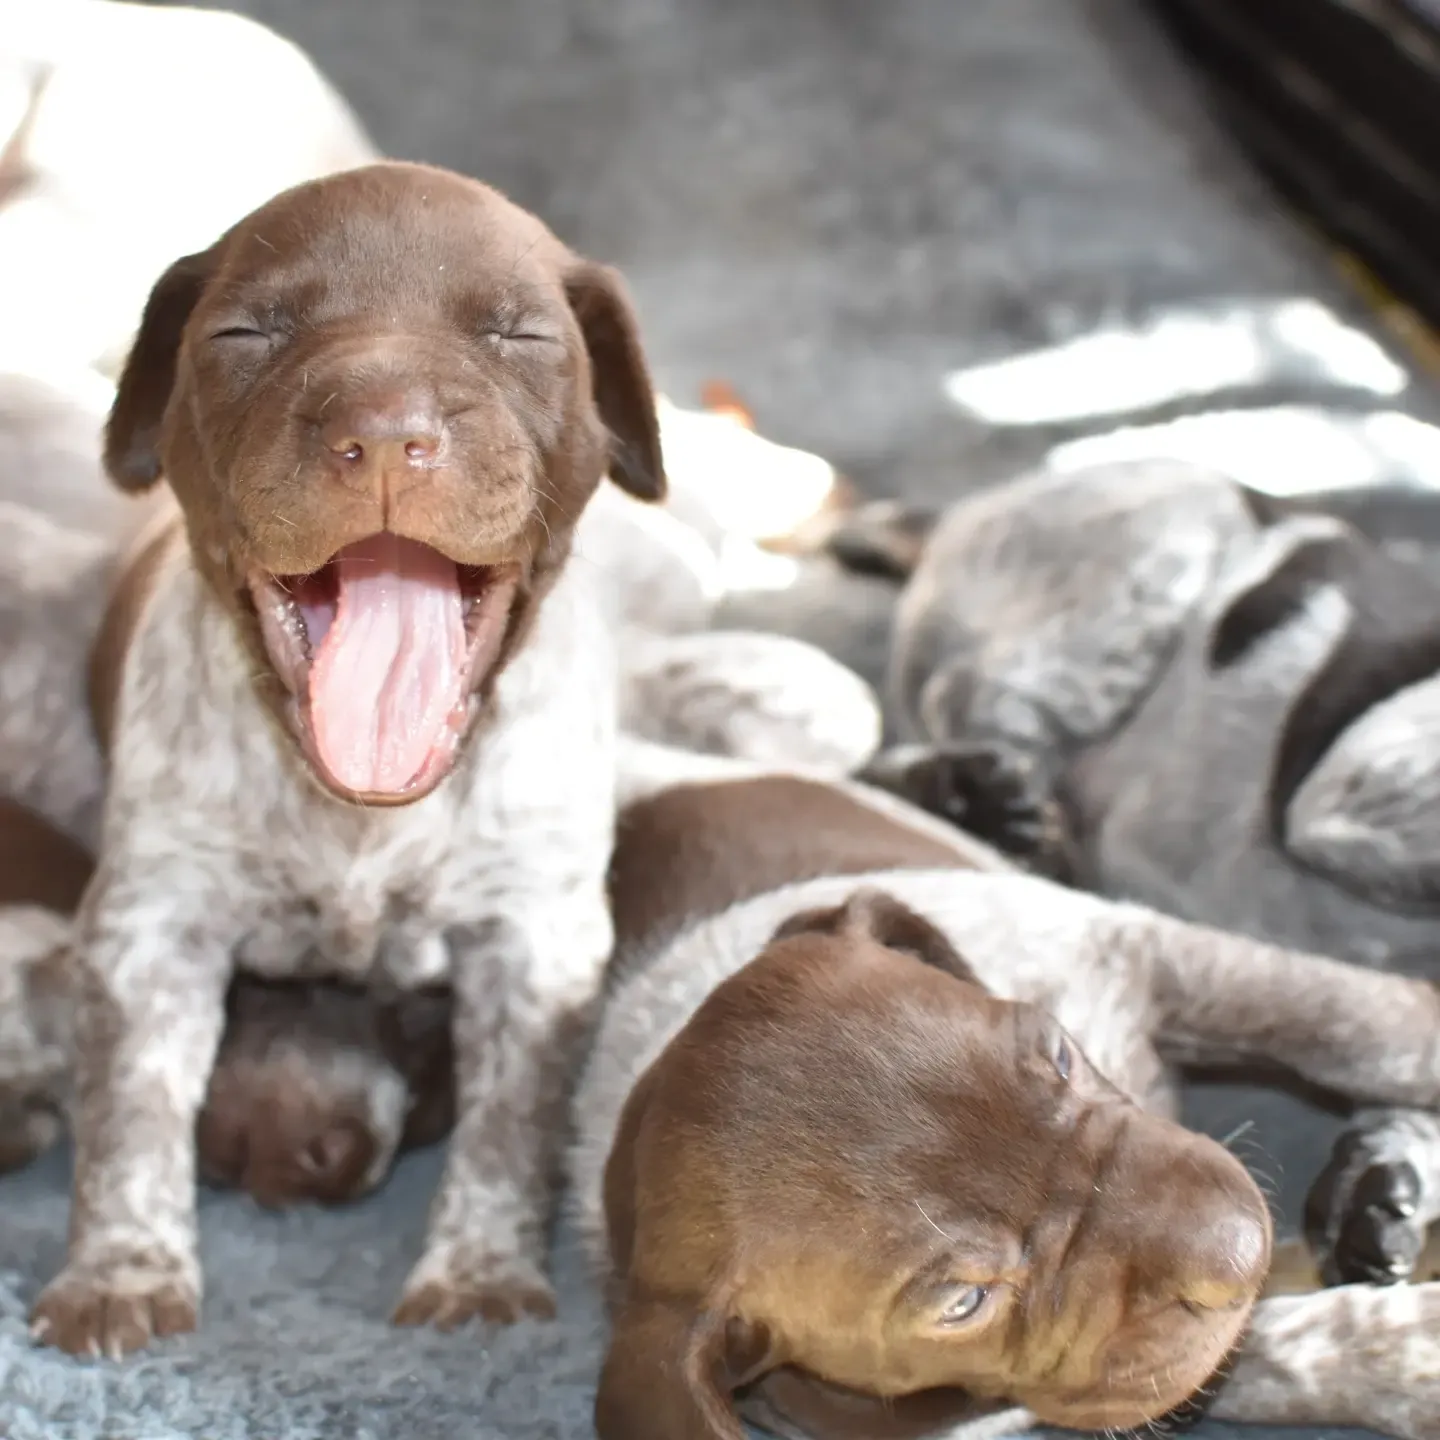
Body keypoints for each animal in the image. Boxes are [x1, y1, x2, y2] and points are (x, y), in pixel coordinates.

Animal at [23, 160, 673, 1359]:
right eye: (243, 332)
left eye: (521, 334)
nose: (383, 434)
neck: (362, 808)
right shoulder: (153, 927)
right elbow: (131, 1111)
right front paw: (122, 1273)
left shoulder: (538, 939)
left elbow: (509, 1122)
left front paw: (479, 1275)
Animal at [564, 743, 1440, 1440]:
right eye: (964, 1303)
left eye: (1058, 1055)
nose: (1245, 1250)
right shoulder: (1108, 1376)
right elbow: (1234, 1356)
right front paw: (1406, 1357)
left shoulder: (1158, 953)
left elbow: (1375, 1029)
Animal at [840, 463, 1440, 1296]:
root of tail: (961, 512)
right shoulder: (1361, 785)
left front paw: (1380, 1184)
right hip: (1140, 579)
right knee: (962, 707)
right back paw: (990, 804)